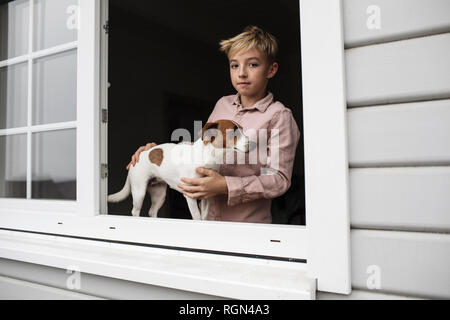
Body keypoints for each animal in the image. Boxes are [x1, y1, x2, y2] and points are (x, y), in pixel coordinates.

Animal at [106, 120, 253, 220]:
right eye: (234, 131)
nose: (253, 143)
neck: (209, 155)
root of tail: (136, 159)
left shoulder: (206, 196)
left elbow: (204, 217)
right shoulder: (190, 195)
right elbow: (197, 217)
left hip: (159, 194)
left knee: (152, 212)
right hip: (139, 192)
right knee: (135, 211)